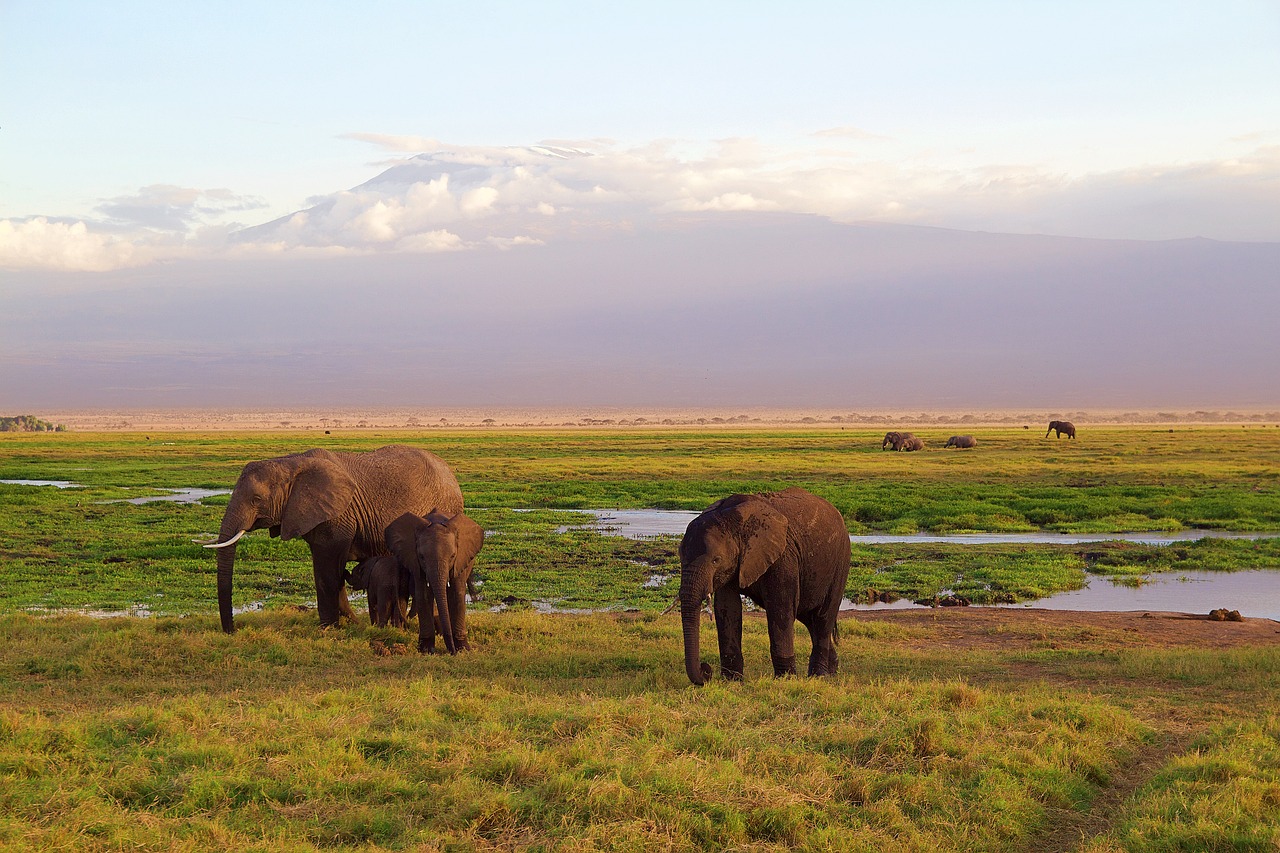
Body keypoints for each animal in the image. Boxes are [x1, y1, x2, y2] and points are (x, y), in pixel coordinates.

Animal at [197, 445, 463, 630]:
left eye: (256, 500)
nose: (232, 631)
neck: (290, 462)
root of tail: (451, 473)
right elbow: (327, 569)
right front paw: (349, 623)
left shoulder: (337, 515)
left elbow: (328, 568)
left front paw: (327, 629)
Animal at [384, 507, 483, 653]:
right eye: (422, 557)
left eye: (452, 556)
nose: (452, 652)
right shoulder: (416, 562)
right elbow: (423, 595)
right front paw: (426, 650)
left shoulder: (460, 560)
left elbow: (457, 594)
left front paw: (463, 649)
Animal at [680, 489, 849, 681]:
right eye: (680, 555)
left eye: (716, 560)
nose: (706, 670)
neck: (735, 519)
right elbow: (727, 608)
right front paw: (732, 681)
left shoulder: (783, 556)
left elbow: (780, 608)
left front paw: (785, 679)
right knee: (808, 617)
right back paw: (832, 672)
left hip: (840, 563)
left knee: (823, 618)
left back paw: (818, 676)